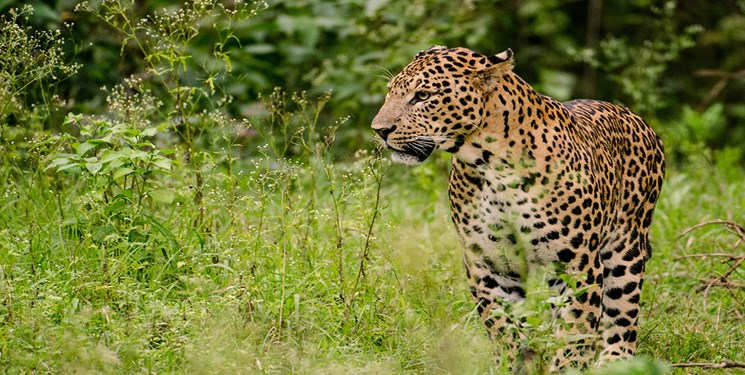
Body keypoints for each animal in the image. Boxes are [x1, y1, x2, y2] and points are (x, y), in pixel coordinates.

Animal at [370, 45, 664, 372]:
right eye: (390, 92)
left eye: (422, 96)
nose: (379, 130)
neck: (490, 166)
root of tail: (637, 119)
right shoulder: (489, 263)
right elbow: (503, 327)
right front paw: (511, 365)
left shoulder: (577, 264)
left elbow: (575, 331)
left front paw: (564, 368)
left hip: (625, 249)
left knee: (622, 316)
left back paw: (614, 361)